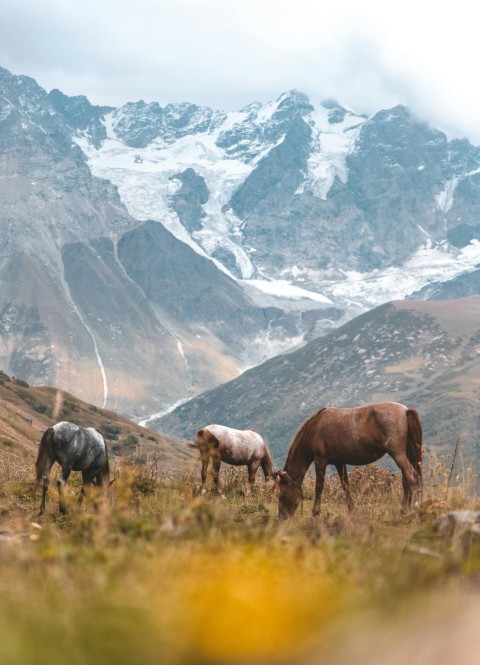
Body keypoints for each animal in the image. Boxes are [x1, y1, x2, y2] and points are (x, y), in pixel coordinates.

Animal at [276, 400, 422, 520]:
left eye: (282, 494)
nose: (281, 517)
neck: (315, 427)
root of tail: (405, 411)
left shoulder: (320, 461)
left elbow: (319, 486)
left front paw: (315, 512)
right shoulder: (339, 462)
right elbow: (345, 485)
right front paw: (352, 511)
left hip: (397, 454)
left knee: (411, 477)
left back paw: (410, 510)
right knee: (406, 480)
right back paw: (404, 509)